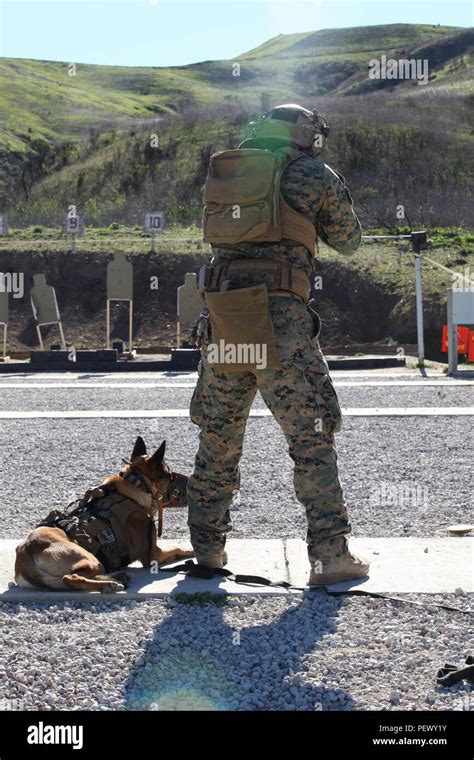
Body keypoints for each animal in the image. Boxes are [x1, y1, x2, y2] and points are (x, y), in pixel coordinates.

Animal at [14, 440, 193, 592]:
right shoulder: (153, 556)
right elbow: (177, 548)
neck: (136, 485)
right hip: (88, 557)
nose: (189, 480)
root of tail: (25, 552)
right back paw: (109, 584)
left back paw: (117, 577)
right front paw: (190, 551)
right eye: (170, 475)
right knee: (70, 578)